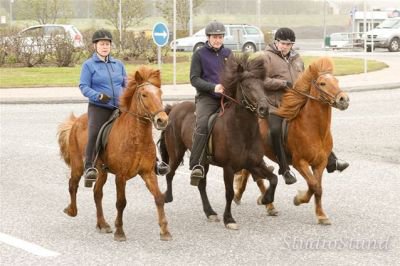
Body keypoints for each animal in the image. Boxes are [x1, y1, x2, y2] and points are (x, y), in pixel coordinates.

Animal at [56, 66, 172, 241]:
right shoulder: (121, 176)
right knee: (73, 184)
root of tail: (76, 122)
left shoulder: (148, 172)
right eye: (144, 94)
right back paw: (72, 211)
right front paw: (120, 231)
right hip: (78, 165)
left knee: (97, 193)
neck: (137, 138)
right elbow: (121, 202)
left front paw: (165, 231)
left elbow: (159, 198)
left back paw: (102, 224)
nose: (162, 120)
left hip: (102, 171)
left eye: (160, 93)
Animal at [158, 53, 276, 229]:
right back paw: (168, 197)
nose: (264, 109)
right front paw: (229, 219)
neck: (242, 129)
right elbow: (229, 193)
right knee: (170, 173)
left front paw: (265, 199)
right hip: (176, 152)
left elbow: (273, 179)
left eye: (263, 86)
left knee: (201, 184)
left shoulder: (254, 163)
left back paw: (210, 212)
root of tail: (173, 109)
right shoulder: (229, 167)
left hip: (203, 161)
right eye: (247, 86)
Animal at [234, 56, 350, 224]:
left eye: (336, 81)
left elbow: (317, 187)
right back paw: (263, 201)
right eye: (322, 83)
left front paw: (321, 215)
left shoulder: (320, 163)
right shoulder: (299, 162)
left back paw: (254, 199)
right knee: (253, 174)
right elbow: (313, 185)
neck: (314, 129)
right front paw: (299, 199)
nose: (344, 99)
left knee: (249, 173)